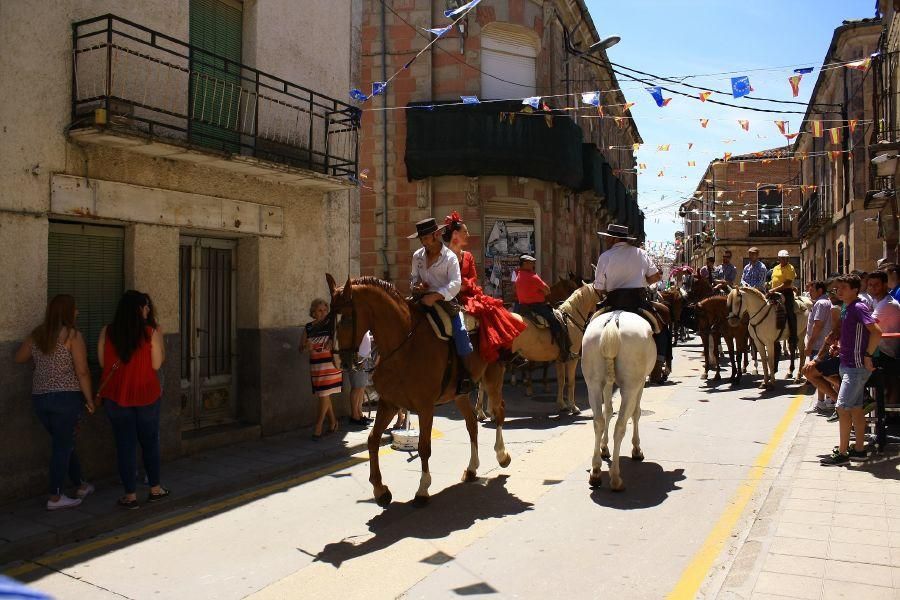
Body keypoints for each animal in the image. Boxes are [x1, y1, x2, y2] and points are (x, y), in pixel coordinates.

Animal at [328, 276, 512, 506]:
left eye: (346, 319)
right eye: (329, 317)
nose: (339, 361)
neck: (404, 346)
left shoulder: (425, 407)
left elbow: (424, 446)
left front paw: (423, 489)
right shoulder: (389, 404)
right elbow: (373, 440)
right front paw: (380, 489)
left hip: (492, 379)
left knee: (499, 413)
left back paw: (502, 455)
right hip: (459, 394)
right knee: (472, 424)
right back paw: (471, 469)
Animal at [584, 310, 652, 492]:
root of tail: (614, 320)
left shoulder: (607, 383)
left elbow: (608, 410)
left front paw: (604, 447)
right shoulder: (641, 382)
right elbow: (636, 413)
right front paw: (636, 449)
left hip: (593, 383)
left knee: (598, 421)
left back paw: (595, 472)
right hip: (630, 386)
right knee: (620, 426)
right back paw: (615, 478)